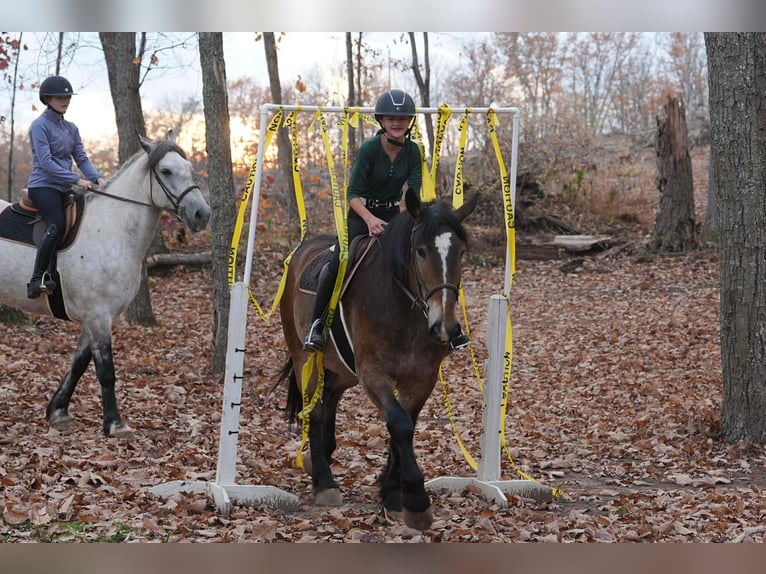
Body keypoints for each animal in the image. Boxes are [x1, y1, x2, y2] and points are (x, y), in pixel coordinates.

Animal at [0, 135, 211, 437]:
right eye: (166, 171)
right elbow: (106, 371)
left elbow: (78, 364)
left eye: (189, 168)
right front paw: (115, 423)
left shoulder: (97, 316)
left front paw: (58, 411)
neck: (111, 230)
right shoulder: (98, 315)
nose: (201, 214)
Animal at [278, 187, 479, 530]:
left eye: (461, 253)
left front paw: (392, 494)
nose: (445, 327)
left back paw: (323, 457)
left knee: (330, 397)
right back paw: (324, 482)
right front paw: (415, 501)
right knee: (315, 410)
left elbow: (404, 425)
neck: (403, 306)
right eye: (421, 251)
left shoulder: (422, 377)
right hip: (304, 355)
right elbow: (399, 424)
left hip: (343, 369)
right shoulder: (373, 374)